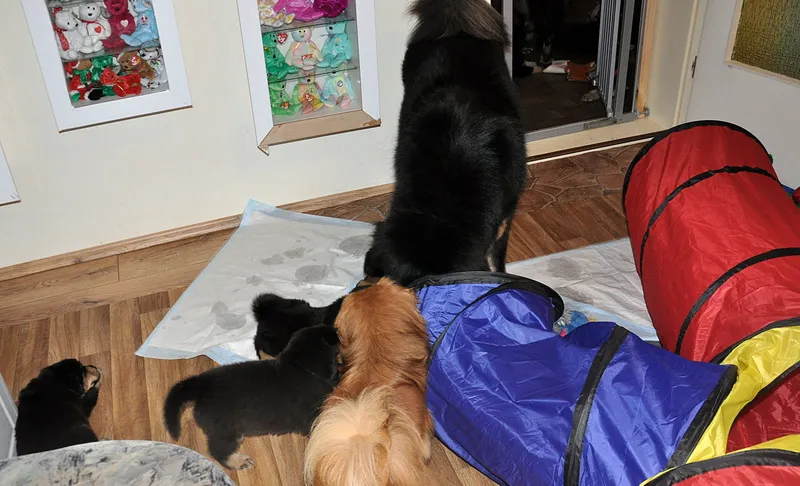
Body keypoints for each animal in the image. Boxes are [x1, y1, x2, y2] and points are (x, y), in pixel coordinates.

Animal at [163, 325, 340, 470]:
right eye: (332, 339)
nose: (336, 329)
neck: (300, 366)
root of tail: (202, 384)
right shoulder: (311, 415)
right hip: (225, 430)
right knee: (218, 451)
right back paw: (238, 461)